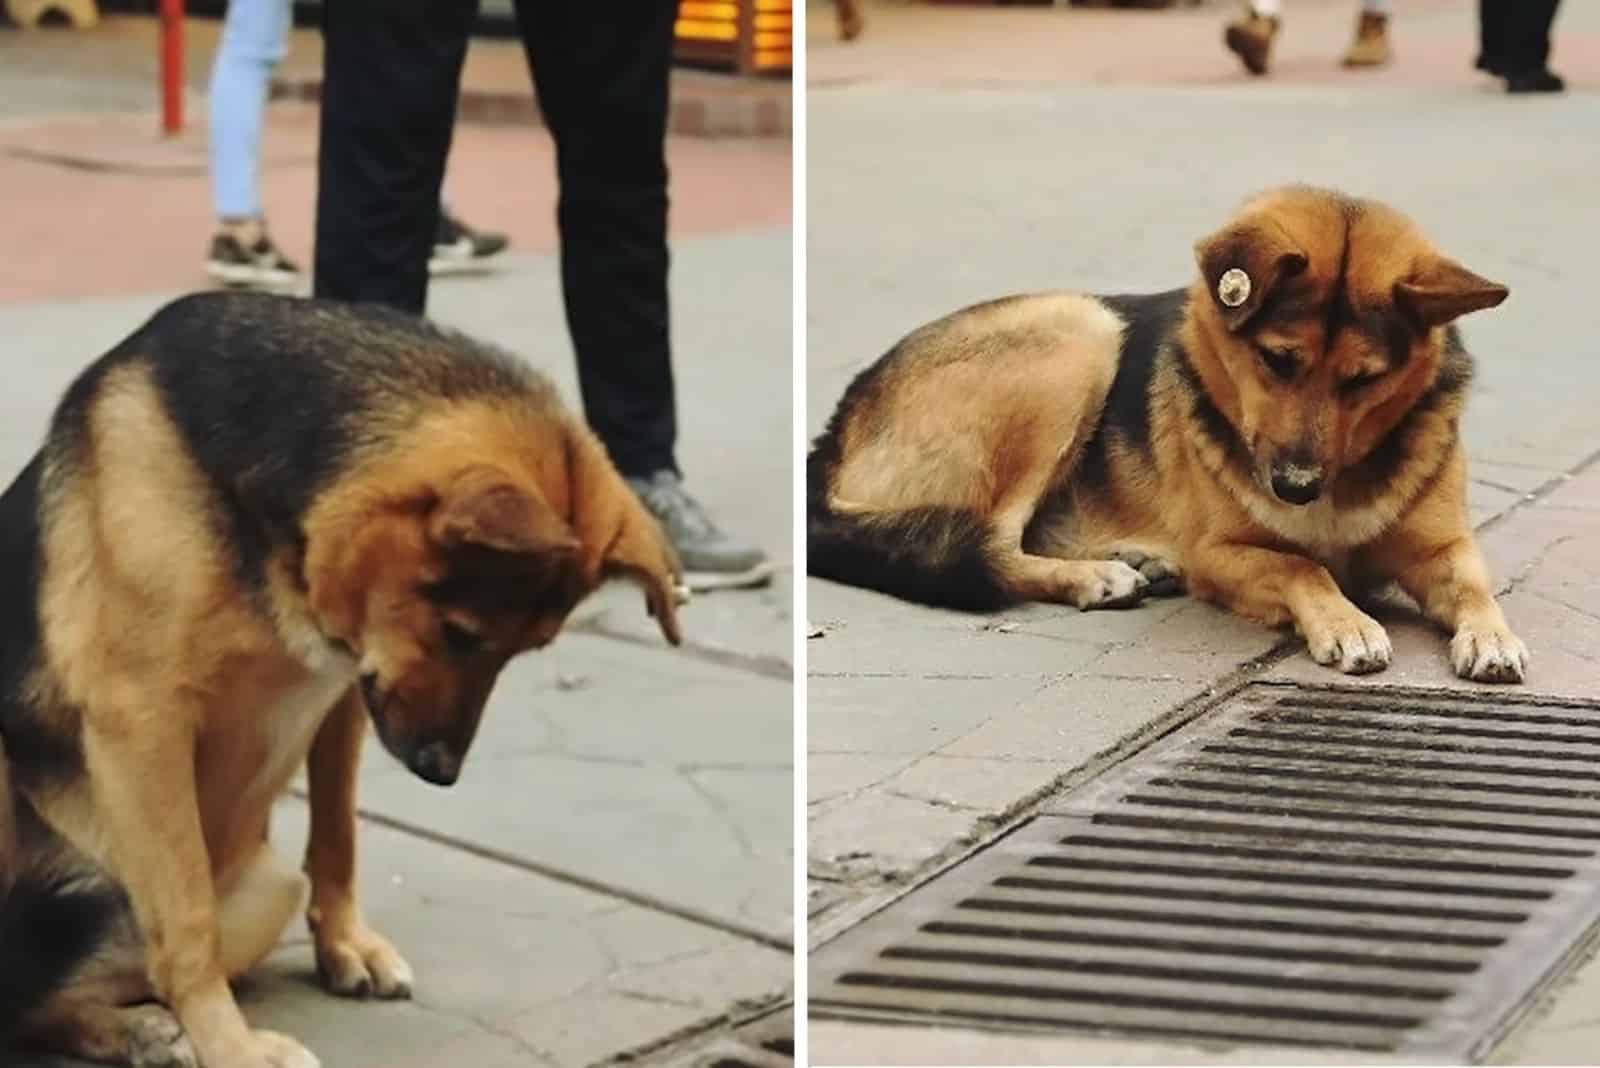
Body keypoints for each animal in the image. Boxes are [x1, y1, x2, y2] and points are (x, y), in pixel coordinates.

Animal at [0, 287, 681, 1061]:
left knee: (48, 996)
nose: (440, 772)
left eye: (523, 649)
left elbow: (337, 835)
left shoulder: (347, 696)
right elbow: (187, 920)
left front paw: (346, 944)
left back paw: (131, 1026)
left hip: (266, 890)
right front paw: (231, 1045)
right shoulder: (140, 719)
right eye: (461, 634)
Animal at [812, 182, 1523, 681]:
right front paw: (1345, 621)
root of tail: (835, 426)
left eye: (1363, 380)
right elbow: (1301, 566)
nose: (1295, 488)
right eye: (1277, 361)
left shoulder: (1442, 548)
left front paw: (1493, 635)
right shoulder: (1219, 555)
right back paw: (1095, 578)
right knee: (994, 541)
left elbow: (1474, 584)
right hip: (1081, 332)